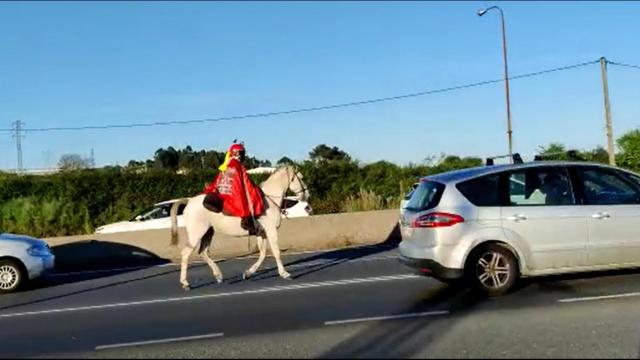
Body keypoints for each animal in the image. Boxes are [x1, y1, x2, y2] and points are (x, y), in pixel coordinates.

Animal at [170, 166, 310, 290]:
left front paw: (248, 273)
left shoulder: (262, 233)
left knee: (203, 252)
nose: (307, 195)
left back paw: (218, 275)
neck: (268, 201)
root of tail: (189, 202)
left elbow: (263, 254)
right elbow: (276, 252)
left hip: (208, 232)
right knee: (186, 254)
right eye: (302, 177)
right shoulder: (271, 231)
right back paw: (185, 283)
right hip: (197, 233)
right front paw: (285, 273)